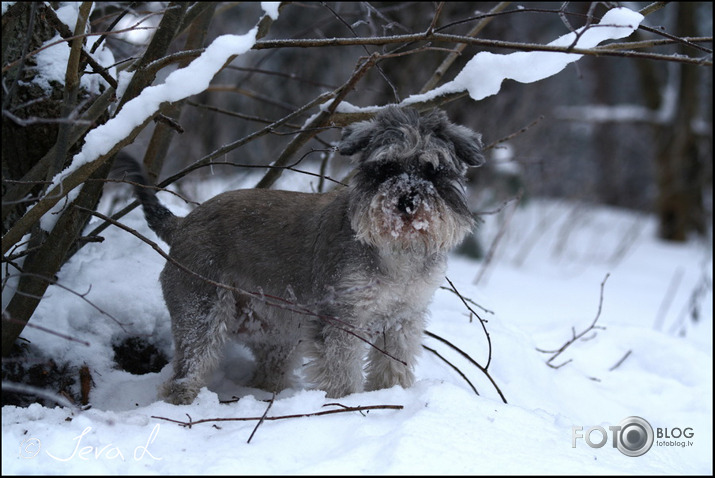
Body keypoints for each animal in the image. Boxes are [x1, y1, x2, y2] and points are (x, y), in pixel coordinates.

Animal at [123, 105, 484, 404]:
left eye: (433, 170)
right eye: (385, 168)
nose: (407, 201)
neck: (396, 251)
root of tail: (182, 223)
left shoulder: (402, 318)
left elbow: (393, 364)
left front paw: (391, 393)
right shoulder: (342, 317)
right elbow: (342, 369)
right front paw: (347, 404)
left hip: (275, 332)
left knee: (267, 369)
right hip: (201, 314)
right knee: (188, 368)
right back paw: (185, 400)